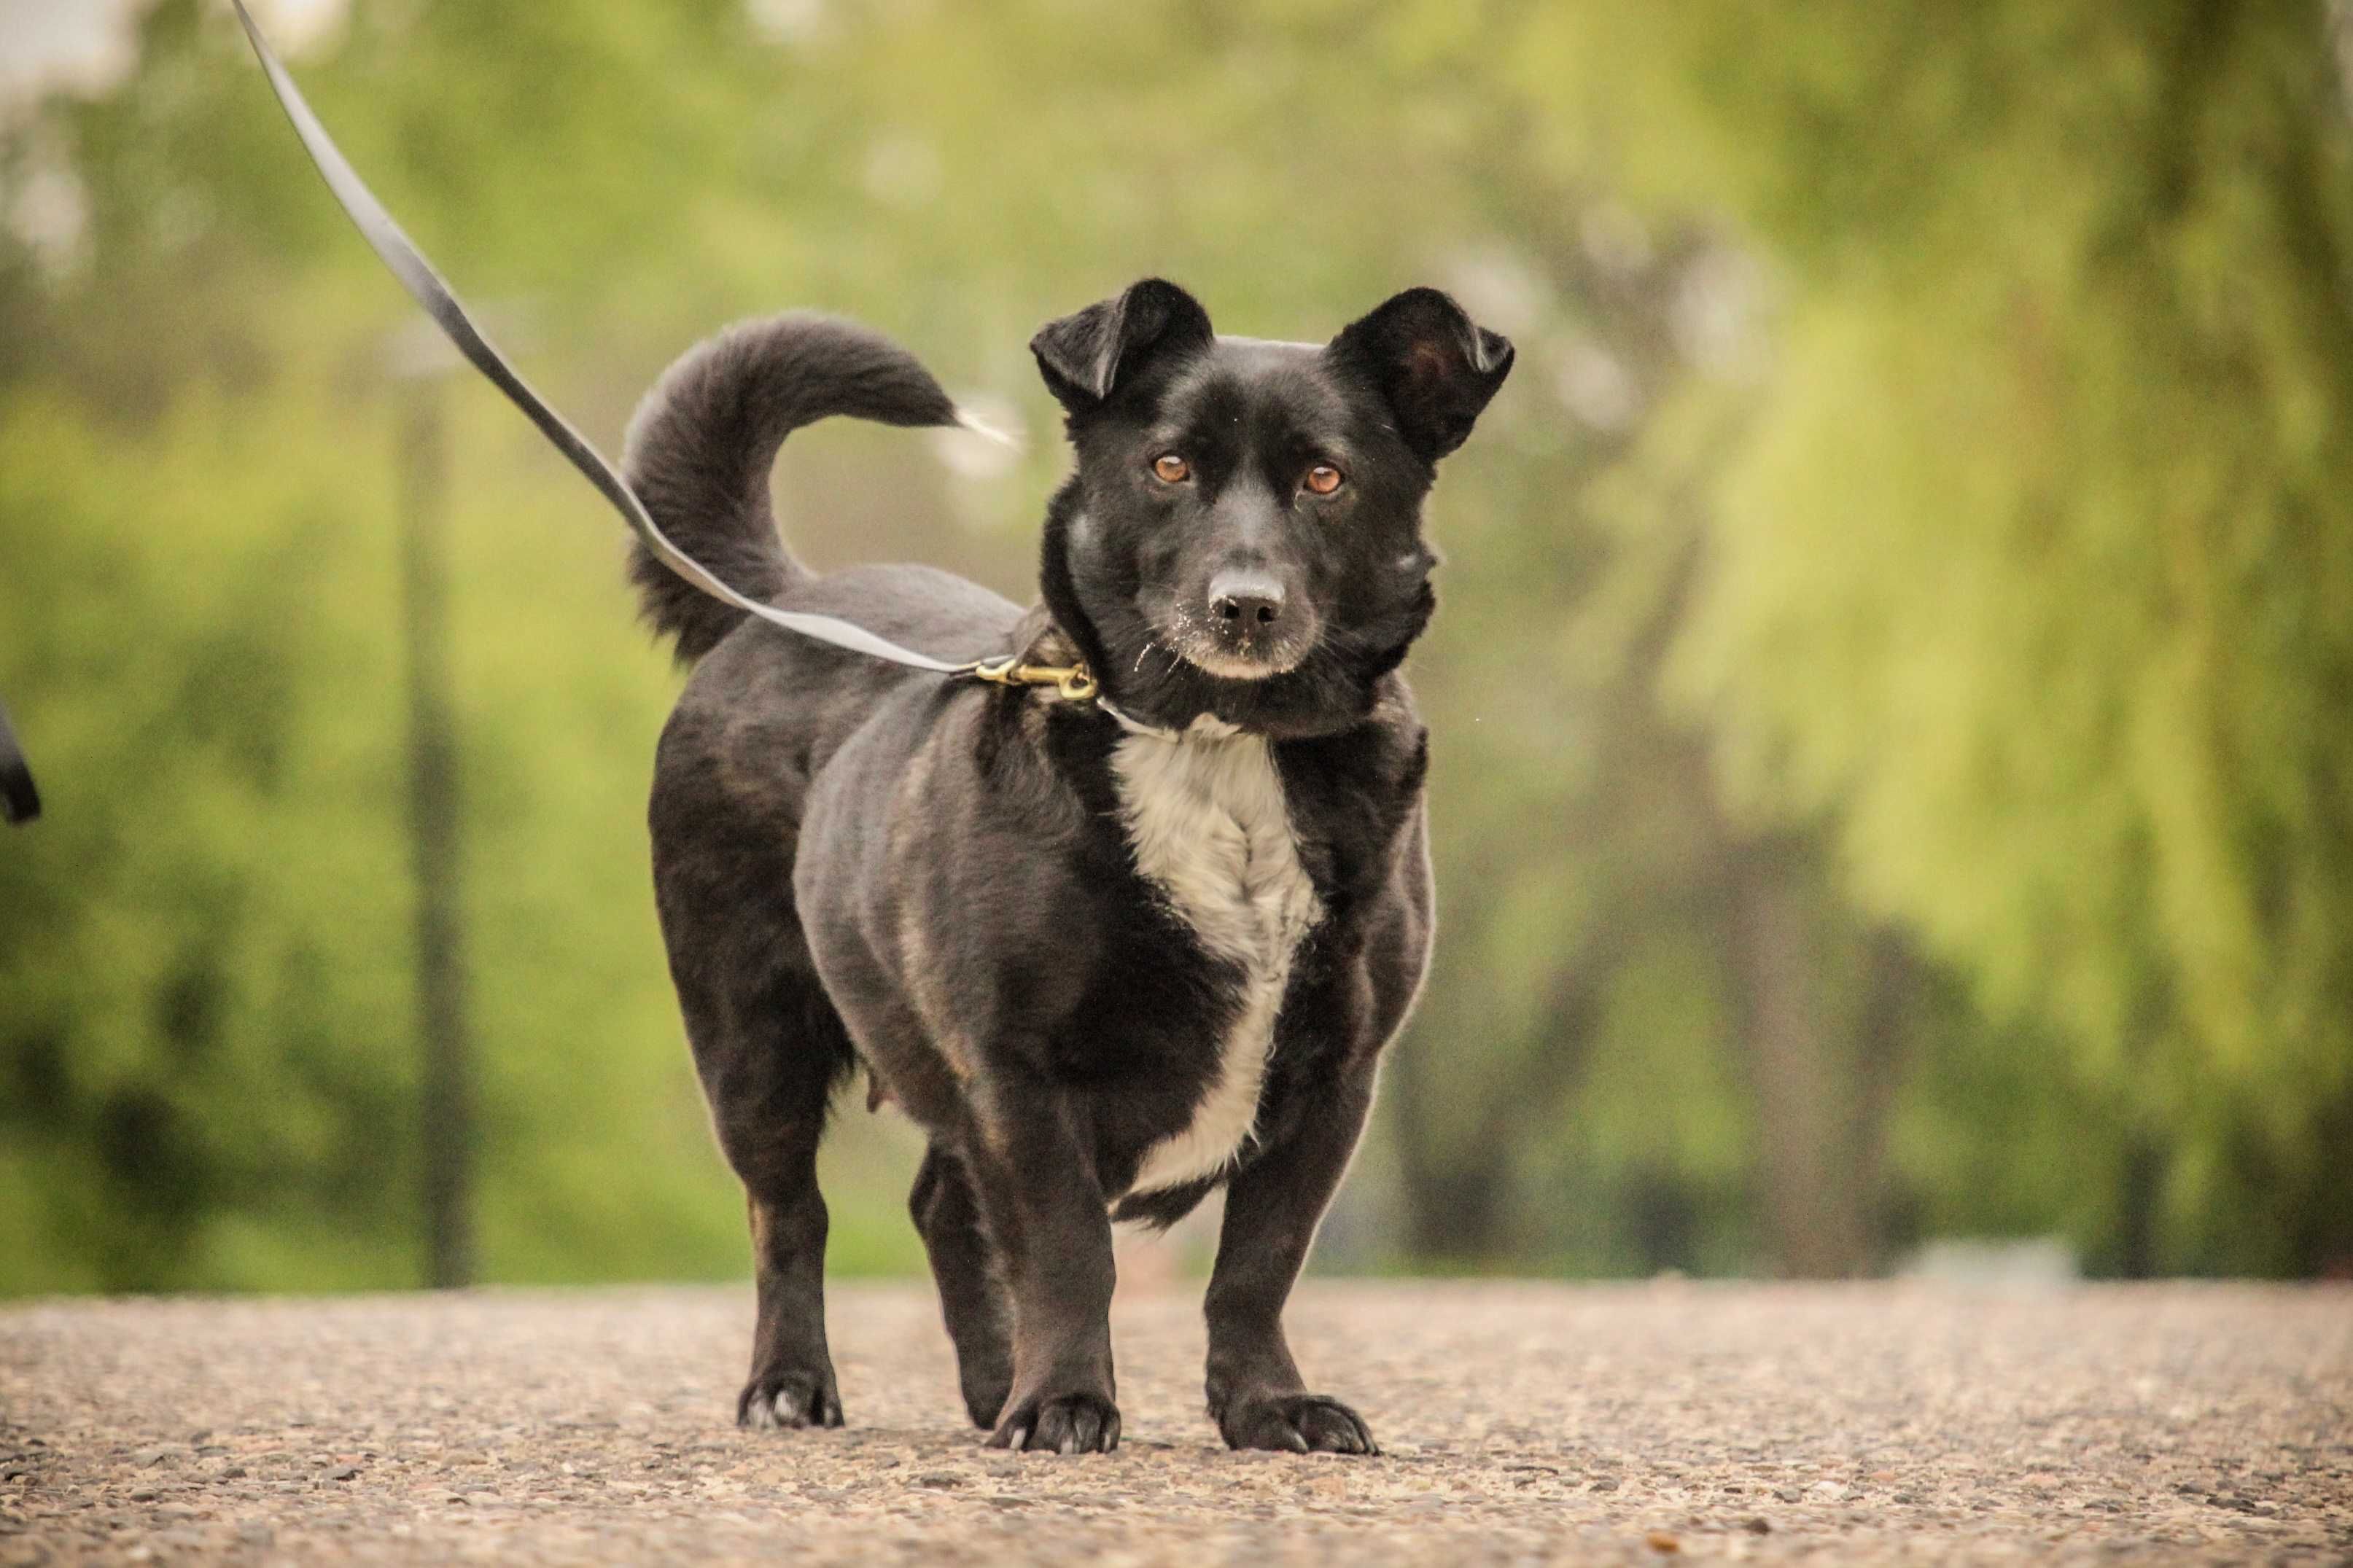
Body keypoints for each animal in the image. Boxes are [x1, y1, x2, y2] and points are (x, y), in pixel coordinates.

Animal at [621, 281, 1506, 1457]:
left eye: (1325, 477)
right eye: (1168, 465)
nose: (1245, 606)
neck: (1219, 744)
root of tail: (785, 600)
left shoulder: (1334, 1078)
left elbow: (1257, 1265)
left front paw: (1267, 1406)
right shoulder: (1021, 1066)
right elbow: (1067, 1248)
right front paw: (1065, 1402)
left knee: (940, 1207)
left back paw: (992, 1384)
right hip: (750, 1038)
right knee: (788, 1215)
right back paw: (793, 1385)